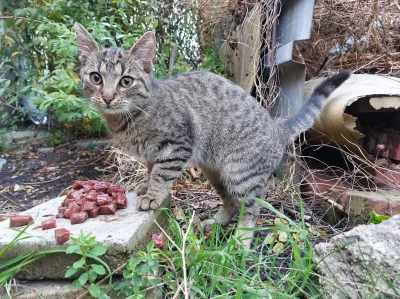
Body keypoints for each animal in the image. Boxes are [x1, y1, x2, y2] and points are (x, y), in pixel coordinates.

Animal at [75, 23, 350, 247]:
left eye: (126, 81)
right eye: (96, 78)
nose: (108, 97)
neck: (128, 118)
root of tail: (276, 127)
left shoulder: (177, 145)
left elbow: (162, 174)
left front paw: (153, 195)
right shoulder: (152, 153)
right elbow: (151, 168)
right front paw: (146, 184)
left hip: (241, 172)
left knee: (251, 209)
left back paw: (240, 242)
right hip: (215, 172)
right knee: (231, 202)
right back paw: (216, 222)